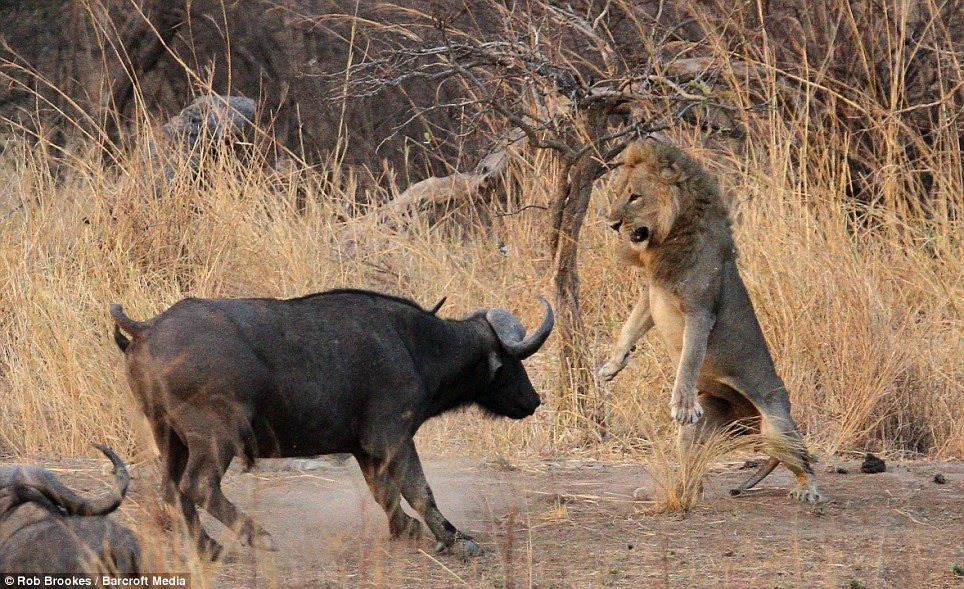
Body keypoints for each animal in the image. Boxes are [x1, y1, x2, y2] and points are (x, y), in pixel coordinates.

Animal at [109, 290, 552, 560]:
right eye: (513, 360)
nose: (533, 400)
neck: (416, 344)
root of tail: (147, 328)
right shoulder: (394, 437)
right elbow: (418, 489)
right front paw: (456, 539)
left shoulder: (364, 449)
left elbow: (384, 493)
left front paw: (405, 529)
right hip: (217, 437)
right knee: (197, 485)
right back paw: (255, 536)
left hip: (168, 436)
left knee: (172, 490)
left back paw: (207, 548)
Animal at [604, 138, 820, 500]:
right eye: (619, 193)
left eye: (635, 196)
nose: (612, 225)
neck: (666, 238)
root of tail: (749, 421)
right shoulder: (653, 294)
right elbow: (629, 326)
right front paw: (611, 366)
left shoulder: (700, 310)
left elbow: (690, 358)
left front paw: (683, 404)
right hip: (702, 430)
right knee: (692, 464)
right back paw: (677, 491)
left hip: (777, 425)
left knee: (803, 459)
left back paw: (809, 490)